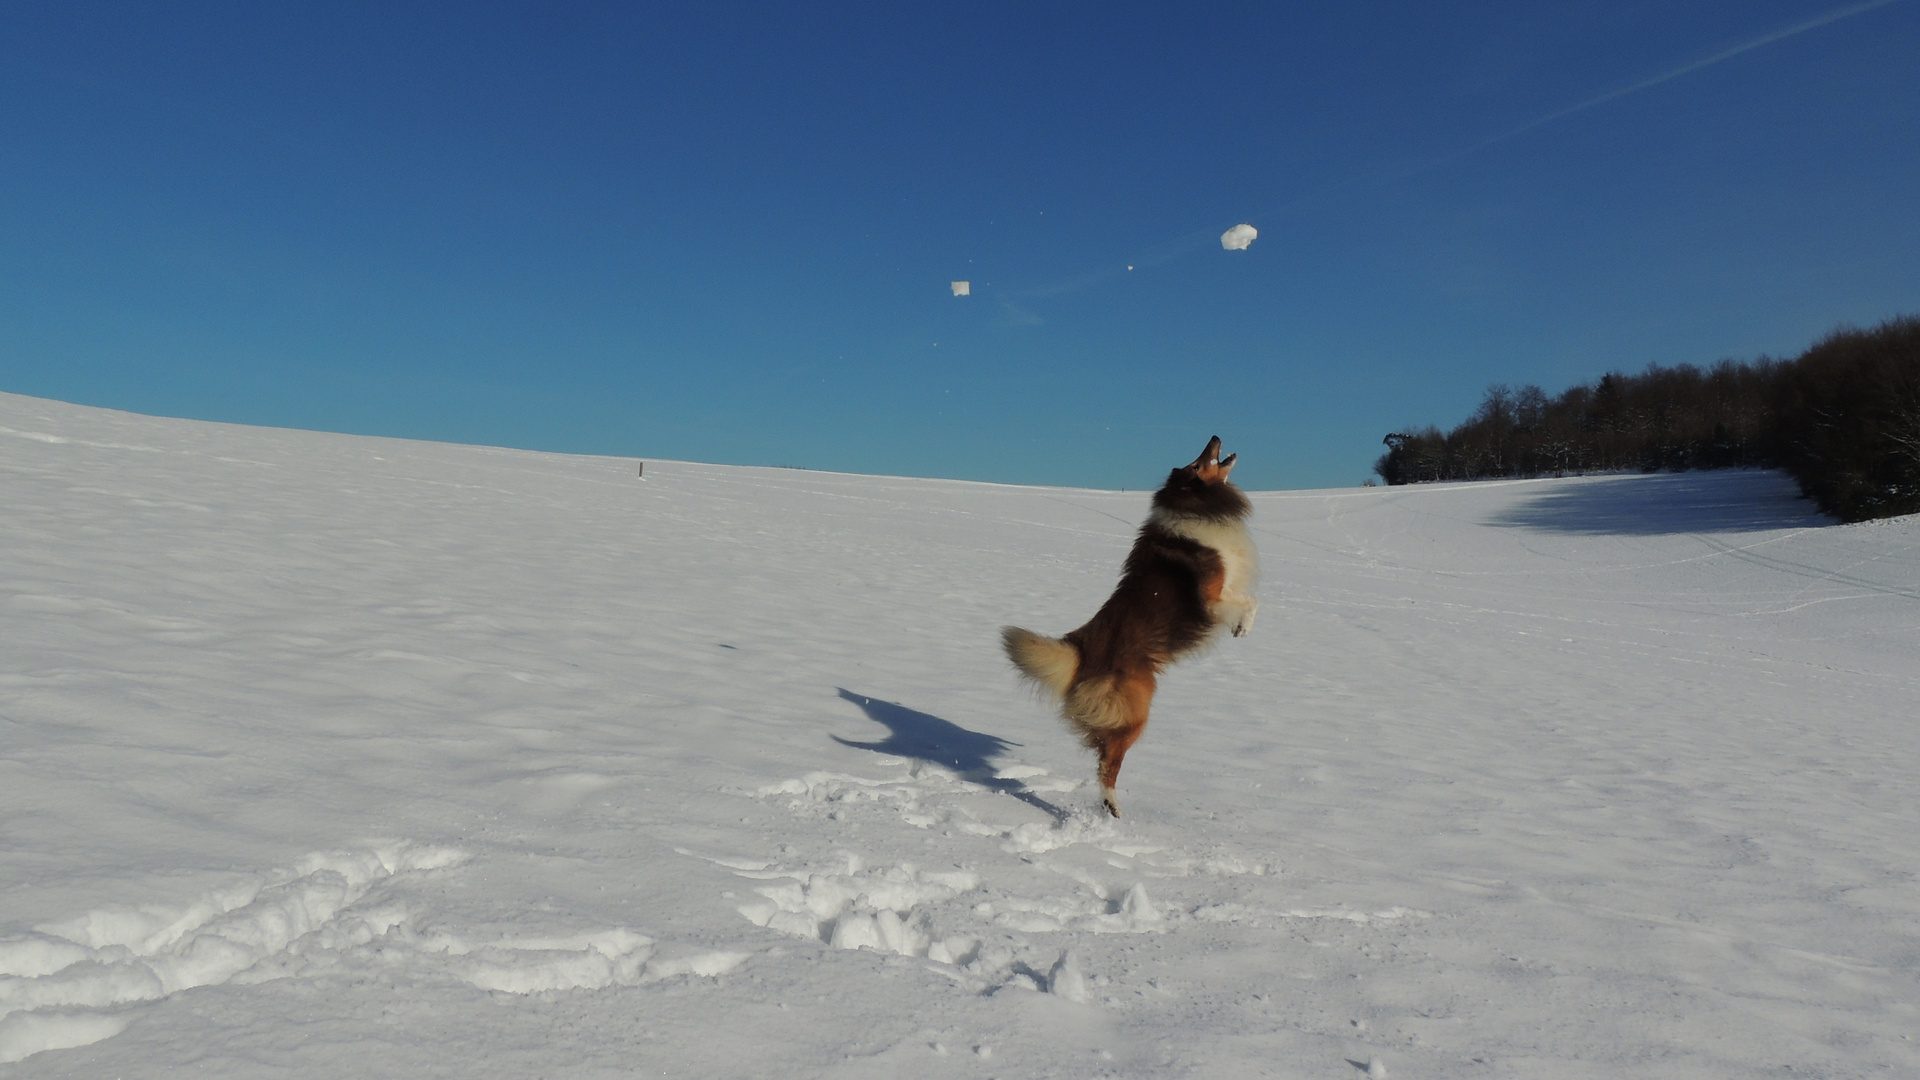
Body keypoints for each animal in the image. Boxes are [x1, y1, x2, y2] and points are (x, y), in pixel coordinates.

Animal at [1006, 432, 1259, 810]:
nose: (1215, 436)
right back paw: (1111, 804)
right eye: (1198, 464)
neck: (1197, 506)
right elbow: (1250, 603)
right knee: (1109, 759)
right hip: (1136, 709)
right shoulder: (1213, 597)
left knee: (1099, 748)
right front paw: (1242, 626)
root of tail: (1082, 648)